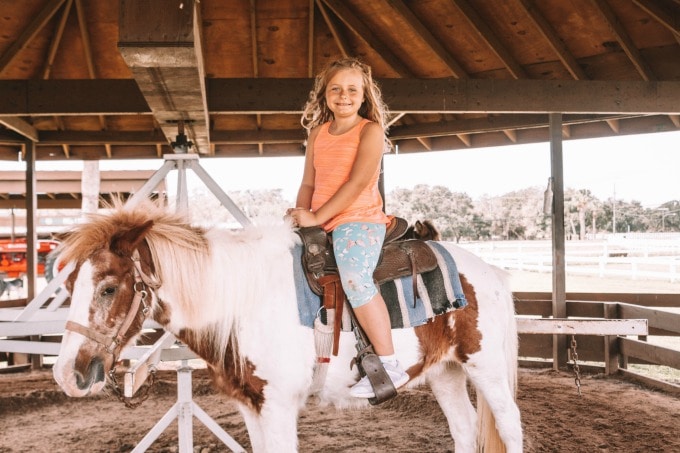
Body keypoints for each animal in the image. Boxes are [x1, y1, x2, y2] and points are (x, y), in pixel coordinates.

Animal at [53, 200, 524, 450]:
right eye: (70, 284)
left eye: (108, 288)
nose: (66, 374)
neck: (243, 299)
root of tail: (491, 272)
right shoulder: (252, 405)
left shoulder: (278, 405)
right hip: (444, 370)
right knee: (464, 427)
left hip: (486, 368)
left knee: (509, 424)